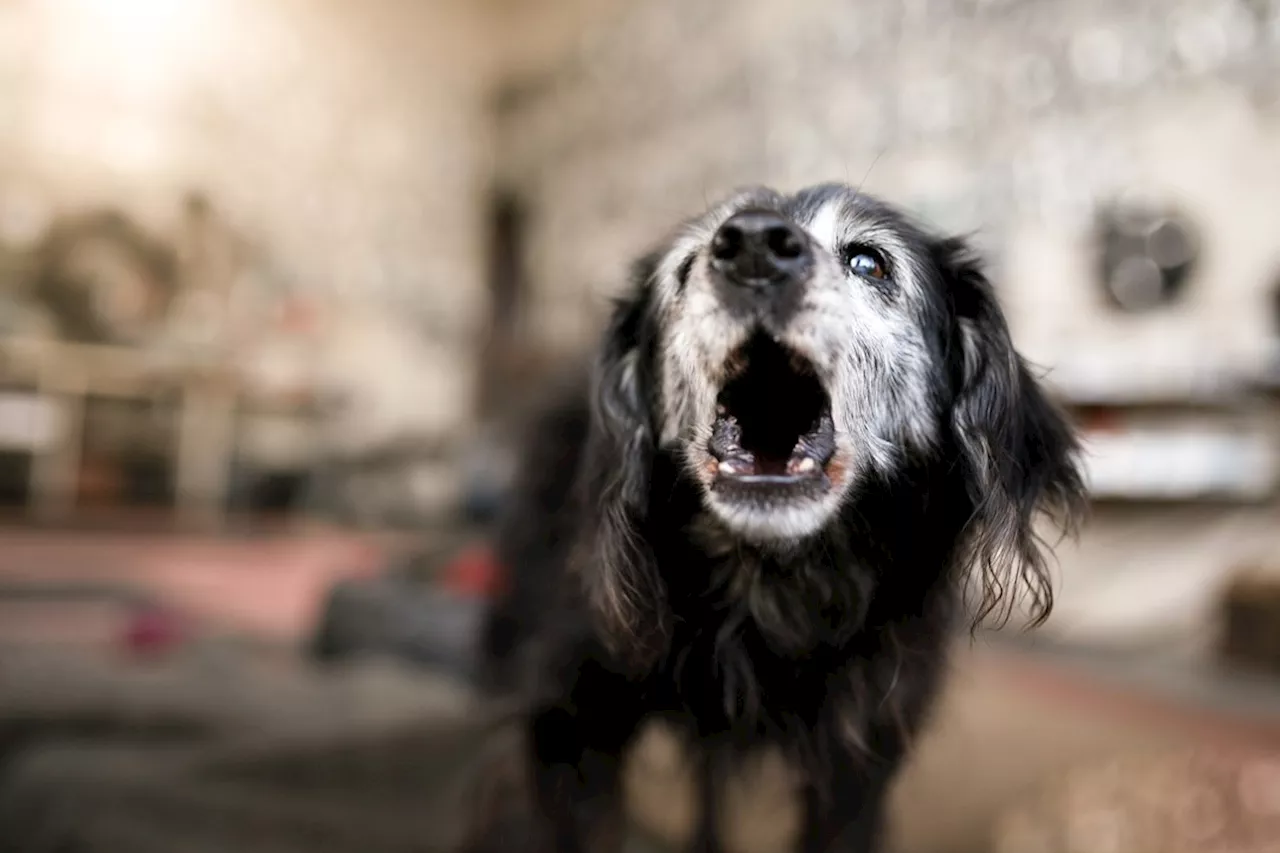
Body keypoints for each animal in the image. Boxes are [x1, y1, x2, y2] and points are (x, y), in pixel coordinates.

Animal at [476, 184, 1085, 850]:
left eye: (869, 262)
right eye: (688, 266)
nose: (753, 248)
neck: (771, 583)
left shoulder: (858, 764)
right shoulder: (566, 725)